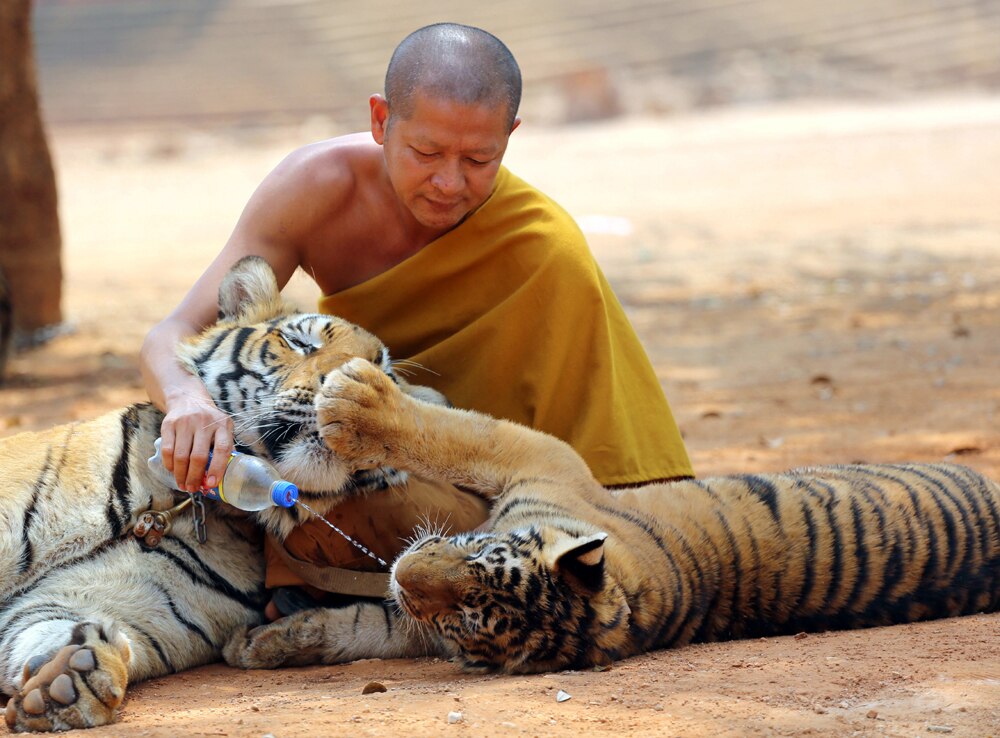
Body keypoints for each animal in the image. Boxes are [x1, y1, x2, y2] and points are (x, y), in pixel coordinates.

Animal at [0, 256, 454, 728]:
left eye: (385, 378)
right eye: (300, 342)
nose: (343, 386)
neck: (178, 506)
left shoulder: (121, 602)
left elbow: (46, 624)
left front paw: (67, 677)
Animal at [225, 356, 1000, 672]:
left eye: (466, 617)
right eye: (473, 564)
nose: (405, 573)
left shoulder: (537, 455)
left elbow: (452, 433)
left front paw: (356, 400)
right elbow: (358, 625)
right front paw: (262, 645)